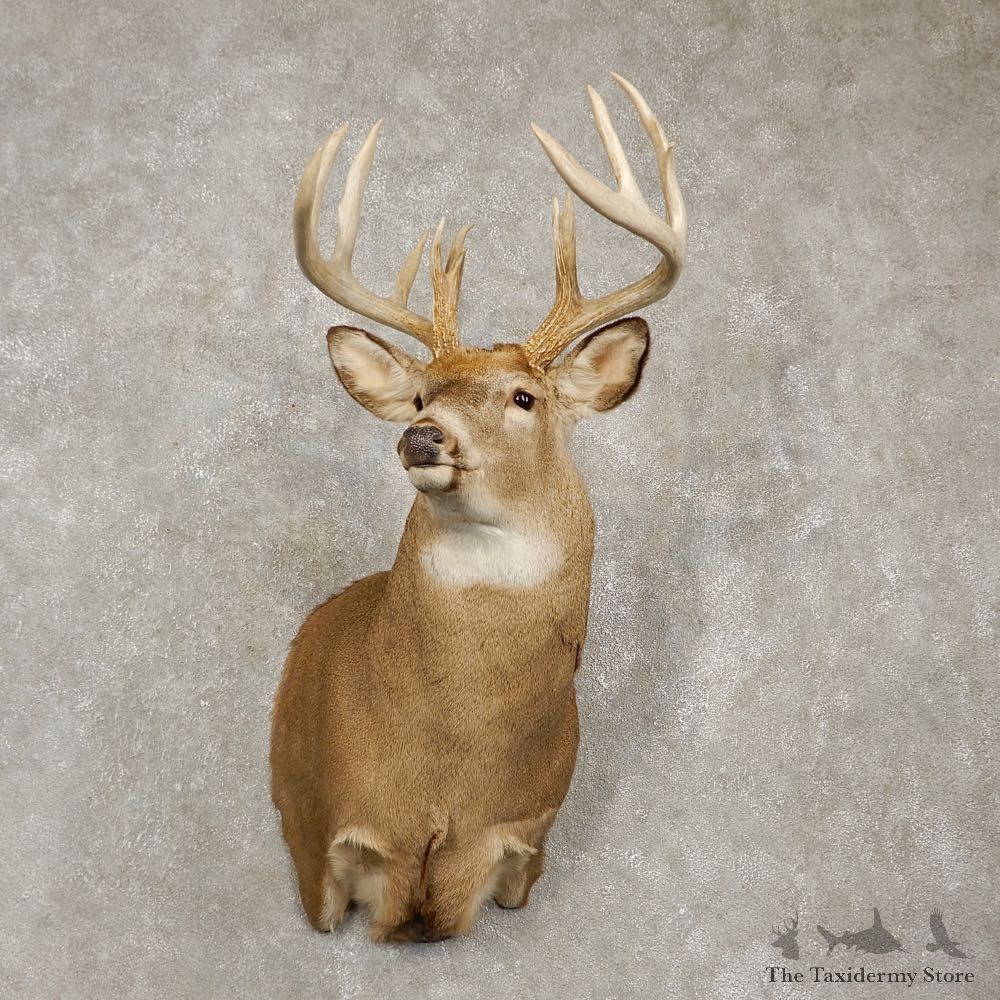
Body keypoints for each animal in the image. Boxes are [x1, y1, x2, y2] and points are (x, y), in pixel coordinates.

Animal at [270, 73, 686, 943]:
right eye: (420, 395)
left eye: (525, 396)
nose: (422, 436)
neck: (449, 774)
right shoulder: (324, 835)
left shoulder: (526, 835)